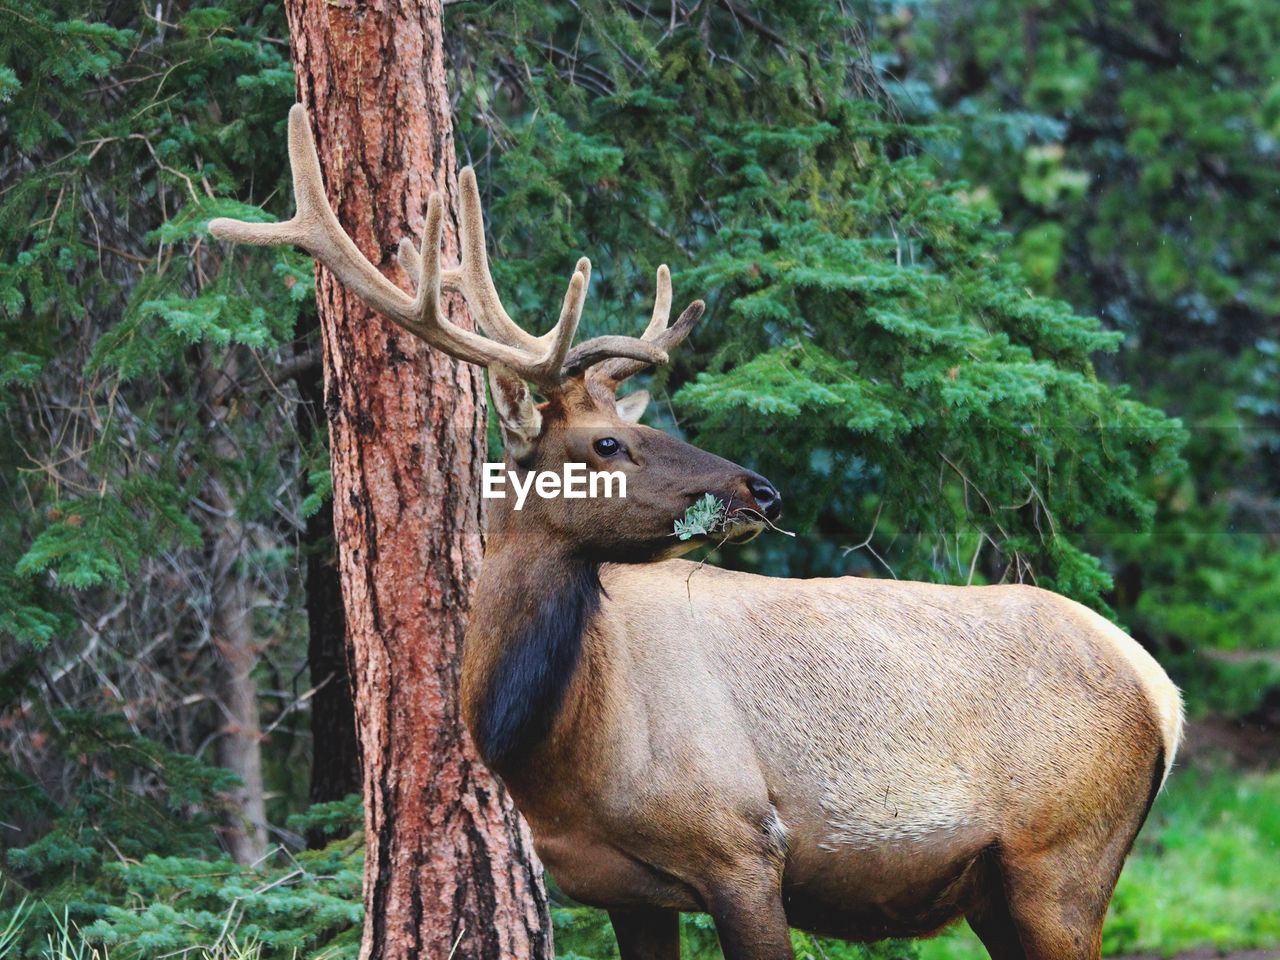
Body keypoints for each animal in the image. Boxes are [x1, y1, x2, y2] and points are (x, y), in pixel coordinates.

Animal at [209, 106, 1177, 960]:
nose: (764, 490)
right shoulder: (624, 889)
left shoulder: (742, 846)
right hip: (997, 888)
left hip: (1062, 859)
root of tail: (1160, 693)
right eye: (607, 442)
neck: (550, 747)